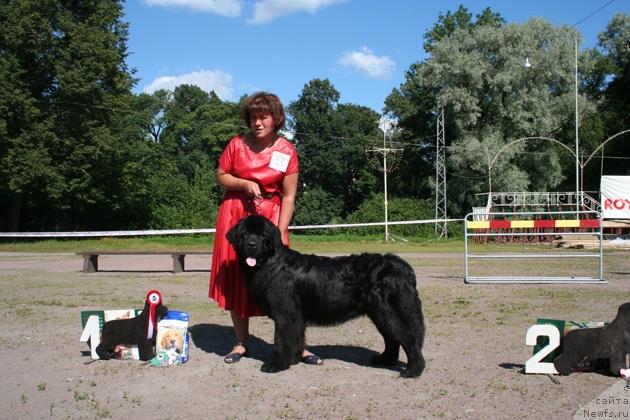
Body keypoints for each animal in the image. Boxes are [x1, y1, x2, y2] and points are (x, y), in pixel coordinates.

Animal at [227, 217, 430, 378]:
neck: (271, 263)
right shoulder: (295, 317)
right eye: (245, 234)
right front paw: (294, 359)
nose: (252, 245)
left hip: (390, 312)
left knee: (408, 338)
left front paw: (276, 365)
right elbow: (296, 338)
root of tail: (403, 268)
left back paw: (413, 370)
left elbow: (281, 340)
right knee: (392, 339)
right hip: (380, 314)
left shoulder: (285, 314)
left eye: (262, 236)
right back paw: (384, 360)